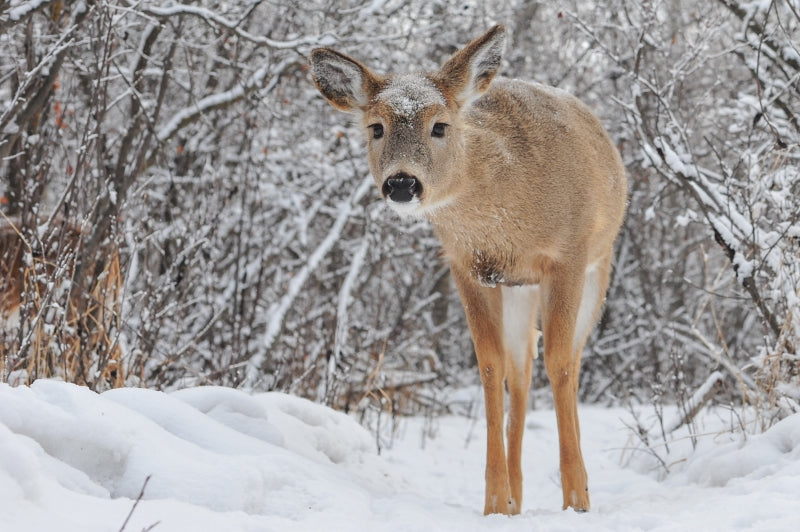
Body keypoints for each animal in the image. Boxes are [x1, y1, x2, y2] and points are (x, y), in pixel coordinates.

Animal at [310, 25, 627, 515]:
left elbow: (560, 363)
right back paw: (517, 493)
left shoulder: (568, 257)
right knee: (520, 370)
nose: (401, 183)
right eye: (376, 127)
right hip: (518, 289)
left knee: (567, 361)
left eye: (440, 126)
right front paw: (496, 501)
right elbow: (490, 367)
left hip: (599, 266)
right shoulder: (468, 267)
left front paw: (576, 499)